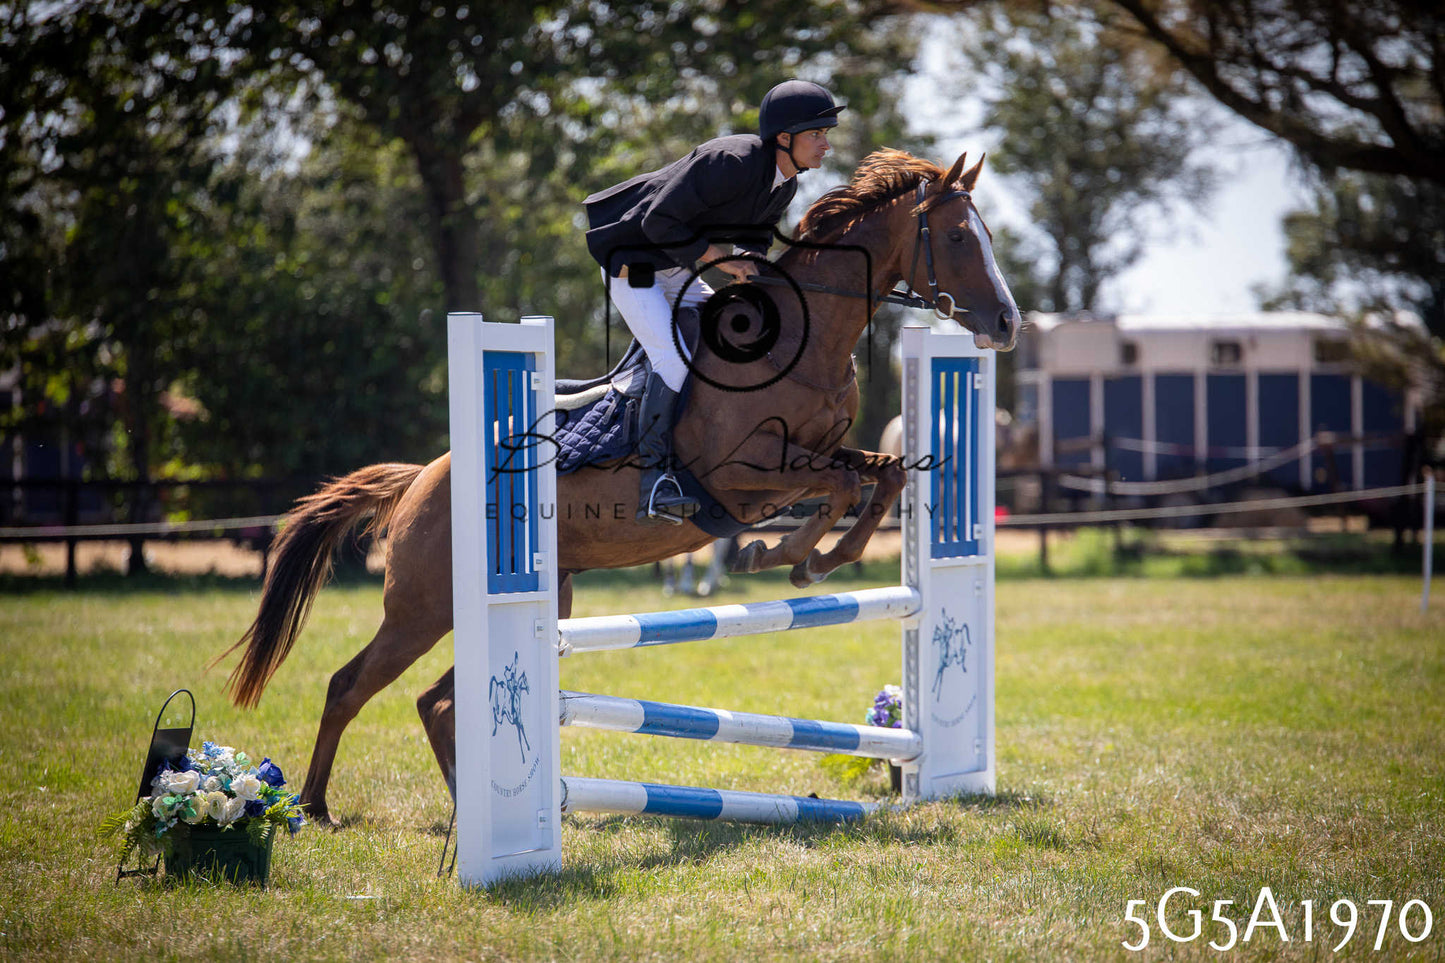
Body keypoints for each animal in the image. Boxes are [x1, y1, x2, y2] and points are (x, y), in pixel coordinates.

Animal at [216, 148, 1020, 825]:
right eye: (957, 237)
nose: (1007, 323)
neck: (800, 338)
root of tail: (422, 479)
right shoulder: (740, 476)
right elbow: (839, 489)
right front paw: (781, 555)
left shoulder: (819, 452)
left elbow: (878, 478)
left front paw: (806, 561)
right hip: (423, 607)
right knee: (350, 685)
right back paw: (316, 808)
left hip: (545, 596)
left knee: (435, 701)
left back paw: (474, 809)